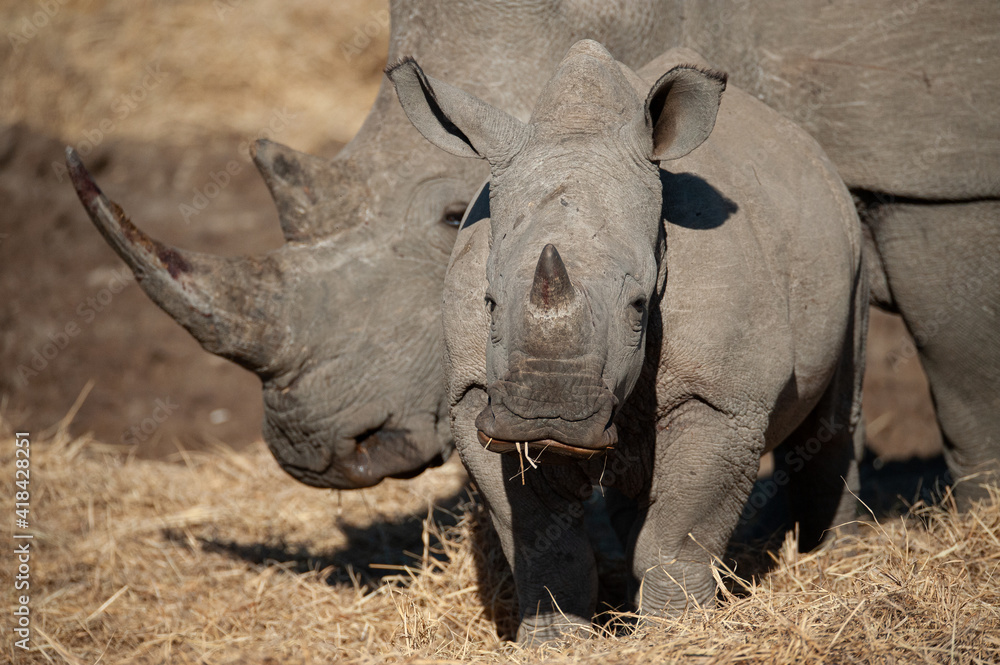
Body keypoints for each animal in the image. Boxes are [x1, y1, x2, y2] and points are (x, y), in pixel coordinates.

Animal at [389, 41, 867, 642]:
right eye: (490, 302)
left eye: (639, 305)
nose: (547, 417)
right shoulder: (477, 399)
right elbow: (545, 543)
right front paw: (553, 643)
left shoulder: (721, 401)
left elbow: (677, 540)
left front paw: (676, 634)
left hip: (851, 237)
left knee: (832, 418)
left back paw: (837, 559)